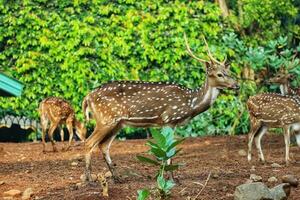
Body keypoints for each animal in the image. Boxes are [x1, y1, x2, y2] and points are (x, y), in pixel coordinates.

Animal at [81, 33, 239, 182]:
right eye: (219, 74)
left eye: (230, 72)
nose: (237, 85)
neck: (191, 103)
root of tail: (87, 97)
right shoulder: (169, 118)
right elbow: (169, 150)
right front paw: (170, 178)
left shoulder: (169, 123)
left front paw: (167, 176)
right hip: (106, 119)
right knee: (88, 143)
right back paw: (89, 178)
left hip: (118, 123)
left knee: (103, 145)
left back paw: (117, 177)